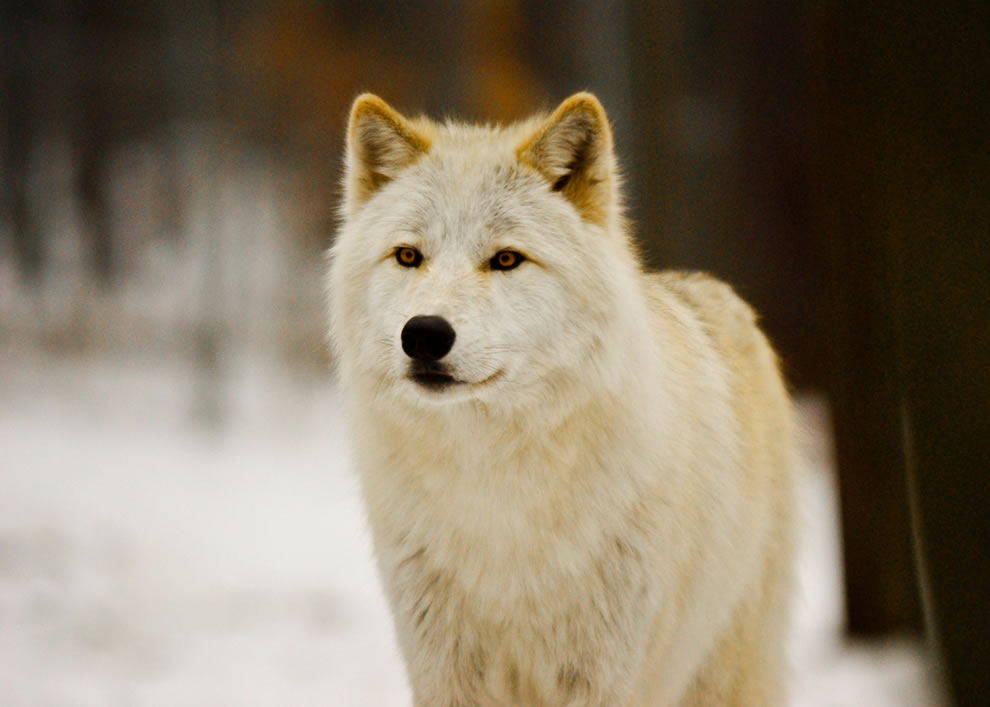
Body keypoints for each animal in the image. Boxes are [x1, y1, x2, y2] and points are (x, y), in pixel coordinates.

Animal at [330, 94, 804, 707]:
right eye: (409, 256)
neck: (493, 493)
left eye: (506, 260)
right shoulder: (447, 673)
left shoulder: (603, 675)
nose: (425, 335)